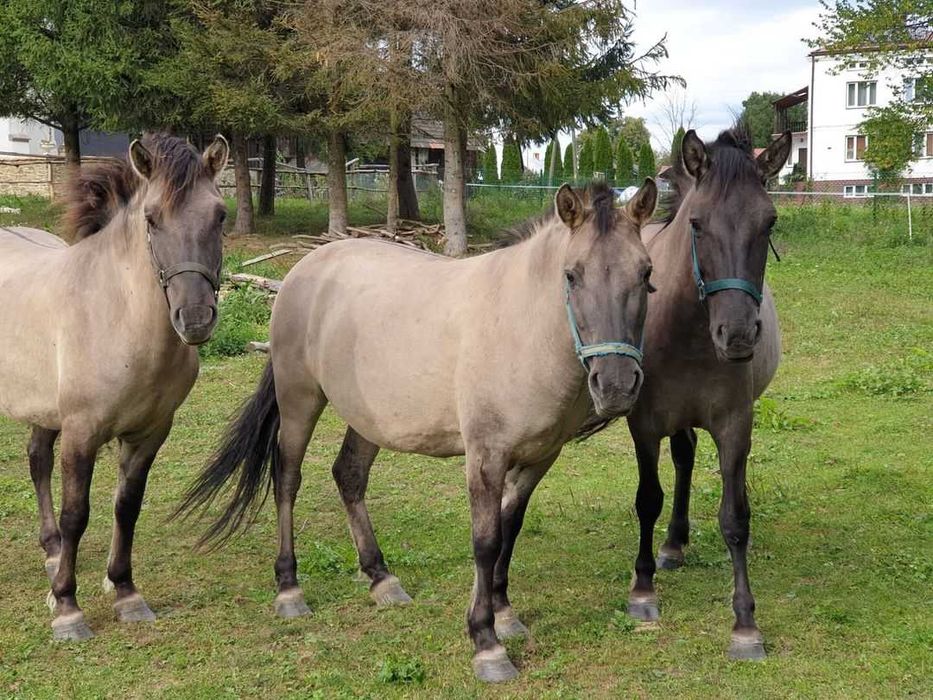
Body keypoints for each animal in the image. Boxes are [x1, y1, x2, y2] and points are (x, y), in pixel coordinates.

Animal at [0, 134, 229, 644]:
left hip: (43, 409)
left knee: (38, 461)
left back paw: (52, 553)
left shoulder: (149, 434)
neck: (115, 314)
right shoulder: (81, 433)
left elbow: (127, 506)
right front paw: (67, 607)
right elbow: (77, 513)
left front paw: (125, 591)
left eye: (220, 215)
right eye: (151, 218)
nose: (195, 319)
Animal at [175, 180, 656, 684]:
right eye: (571, 275)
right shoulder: (485, 456)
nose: (617, 385)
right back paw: (290, 589)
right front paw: (486, 642)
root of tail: (307, 268)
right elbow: (486, 541)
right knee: (287, 479)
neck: (521, 325)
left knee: (349, 476)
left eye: (645, 273)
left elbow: (510, 529)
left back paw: (381, 578)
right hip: (299, 398)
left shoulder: (539, 458)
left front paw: (504, 614)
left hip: (367, 419)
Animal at [608, 127, 792, 660]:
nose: (738, 335)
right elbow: (648, 499)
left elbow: (735, 518)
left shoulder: (734, 425)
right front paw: (642, 589)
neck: (687, 330)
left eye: (769, 221)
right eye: (697, 223)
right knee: (683, 459)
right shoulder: (645, 424)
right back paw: (671, 546)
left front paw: (745, 623)